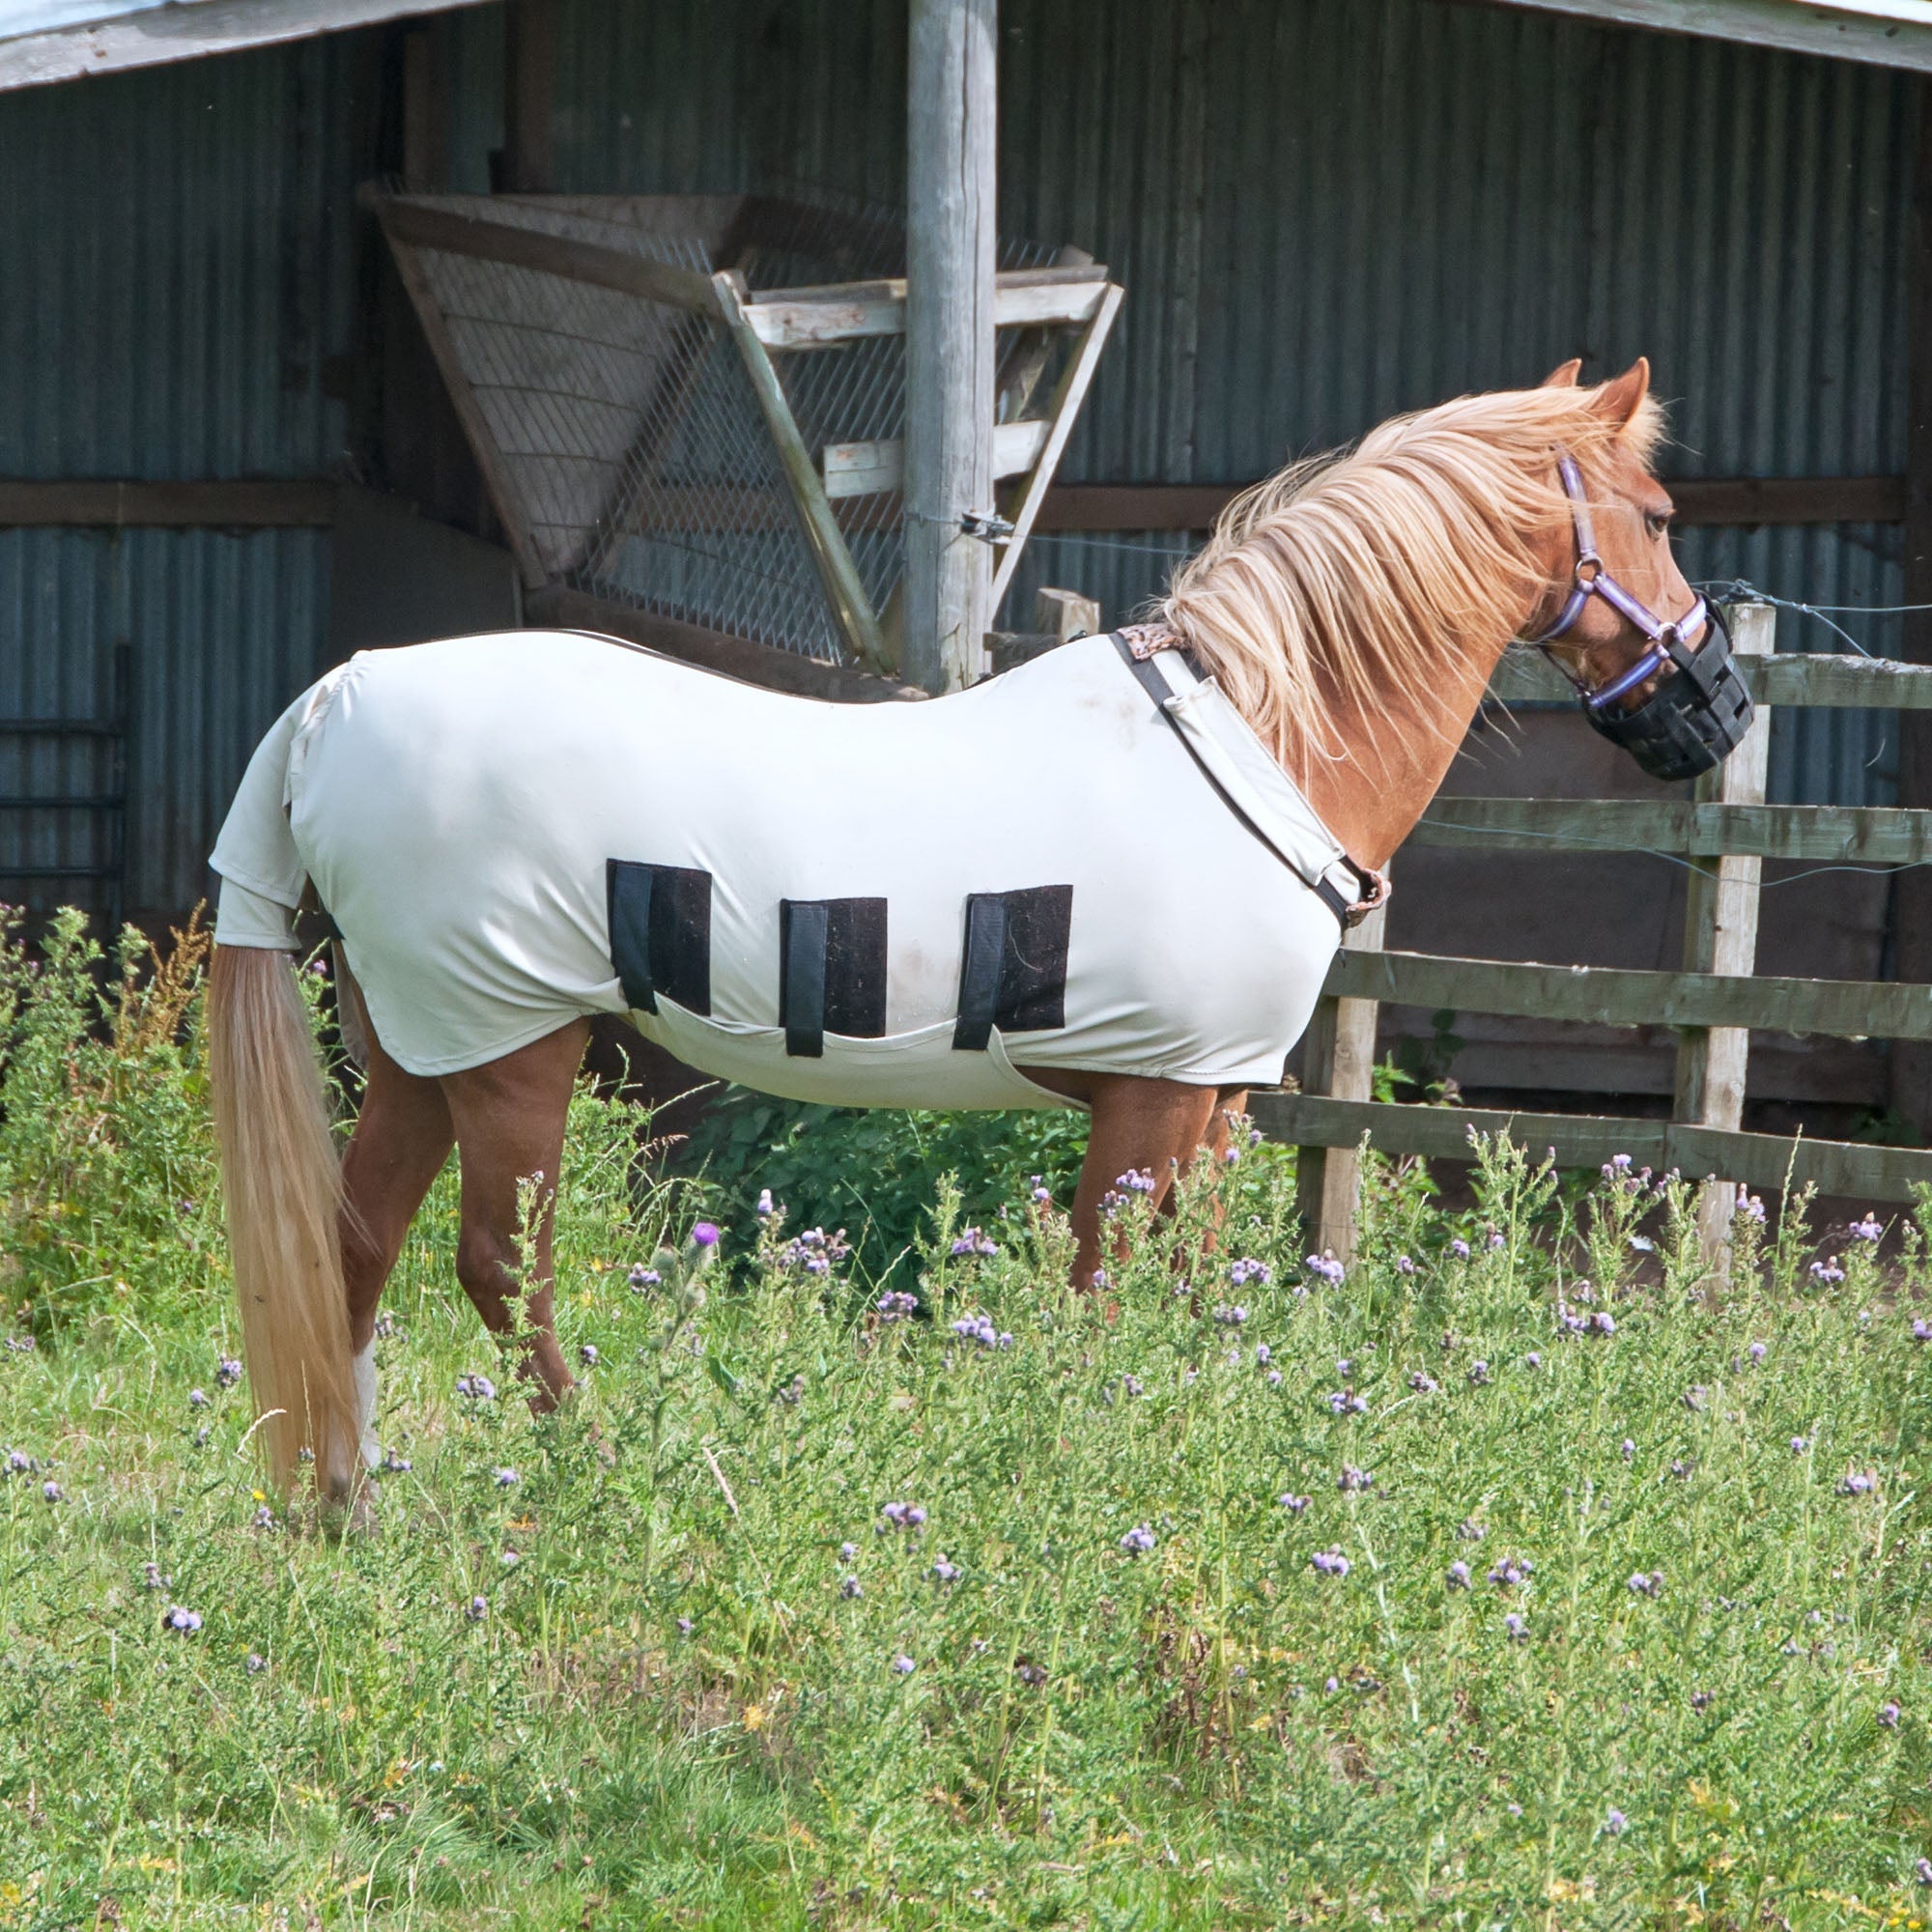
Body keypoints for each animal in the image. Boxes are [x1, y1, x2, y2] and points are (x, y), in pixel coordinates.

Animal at [207, 356, 1737, 1500]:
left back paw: (339, 1507)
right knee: (495, 1267)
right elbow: (1107, 1293)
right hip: (512, 1049)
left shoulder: (1212, 1099)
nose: (1716, 704)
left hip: (419, 1047)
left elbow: (1198, 1289)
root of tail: (338, 697)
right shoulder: (1149, 1104)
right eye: (1659, 511)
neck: (1260, 737)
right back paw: (589, 1467)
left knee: (351, 1250)